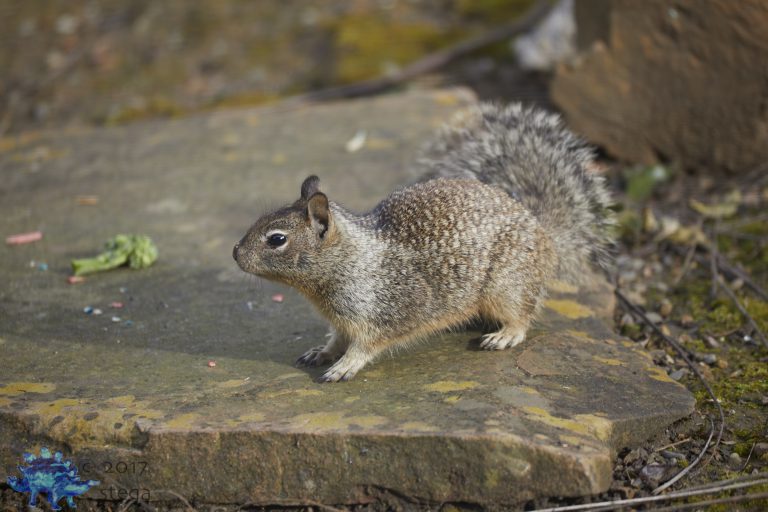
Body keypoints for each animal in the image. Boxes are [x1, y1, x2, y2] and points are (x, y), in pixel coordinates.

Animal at [233, 103, 614, 382]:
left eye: (277, 239)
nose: (235, 254)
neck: (350, 260)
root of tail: (545, 233)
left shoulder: (386, 310)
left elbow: (366, 345)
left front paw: (344, 366)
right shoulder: (342, 320)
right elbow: (338, 338)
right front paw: (323, 352)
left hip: (507, 285)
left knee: (522, 315)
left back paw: (503, 335)